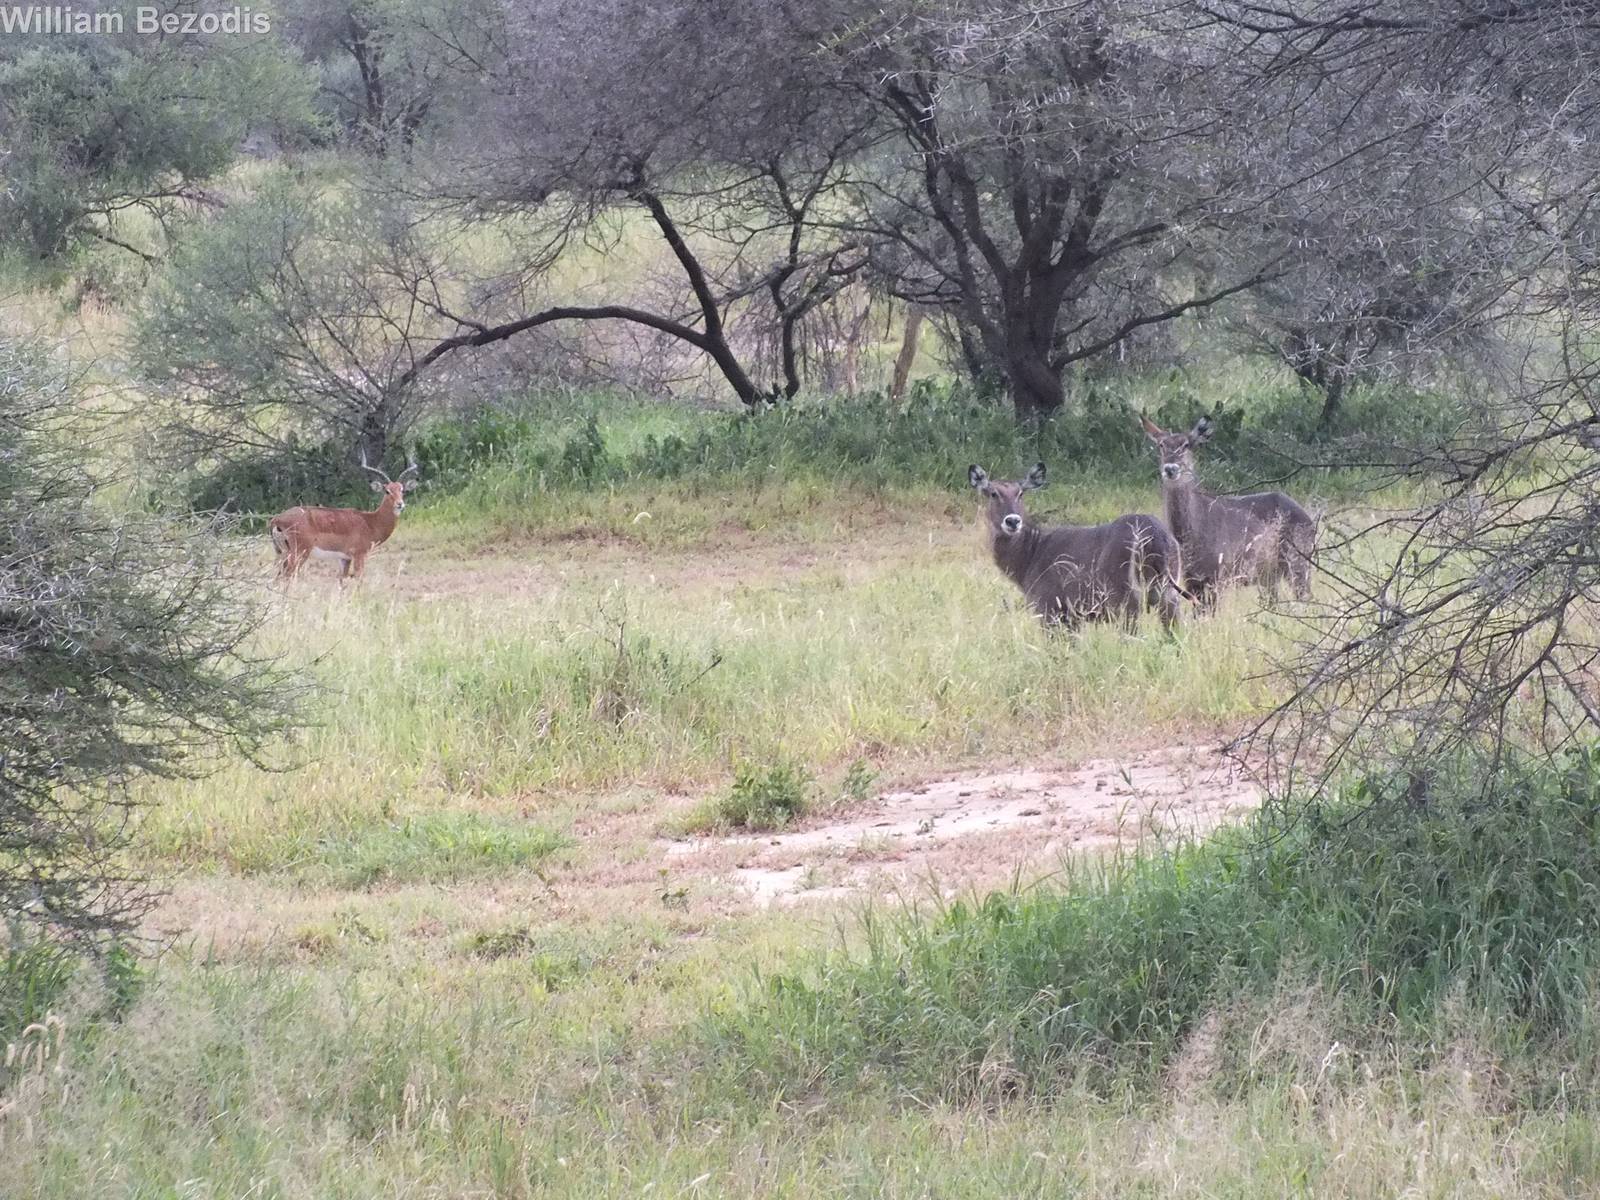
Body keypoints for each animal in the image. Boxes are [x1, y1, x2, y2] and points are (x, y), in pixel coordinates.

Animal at [269, 454, 419, 584]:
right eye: (387, 491)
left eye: (402, 490)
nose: (400, 504)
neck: (370, 522)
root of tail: (276, 519)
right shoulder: (359, 555)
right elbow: (359, 580)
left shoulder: (344, 558)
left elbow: (341, 583)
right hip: (299, 554)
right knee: (286, 576)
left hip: (283, 554)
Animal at [969, 462, 1187, 630]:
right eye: (993, 493)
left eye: (1020, 493)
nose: (1013, 521)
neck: (1030, 555)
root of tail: (1155, 535)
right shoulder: (1073, 618)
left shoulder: (1049, 608)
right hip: (1168, 596)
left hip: (1126, 601)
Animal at [1140, 415, 1316, 605]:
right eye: (1161, 445)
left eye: (1186, 444)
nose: (1170, 468)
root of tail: (1310, 521)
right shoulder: (1191, 580)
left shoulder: (1218, 576)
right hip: (1269, 574)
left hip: (1297, 561)